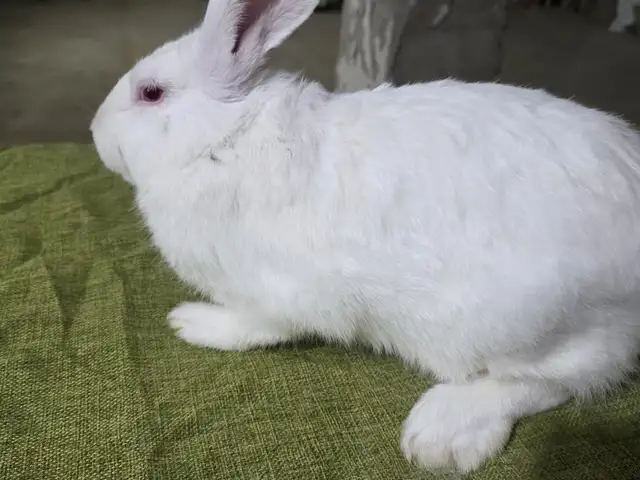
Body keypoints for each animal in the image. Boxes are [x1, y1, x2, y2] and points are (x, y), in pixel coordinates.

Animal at [90, 0, 640, 473]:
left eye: (151, 93)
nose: (94, 131)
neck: (224, 139)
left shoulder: (275, 295)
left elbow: (253, 328)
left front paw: (191, 322)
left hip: (529, 324)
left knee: (560, 379)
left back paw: (441, 433)